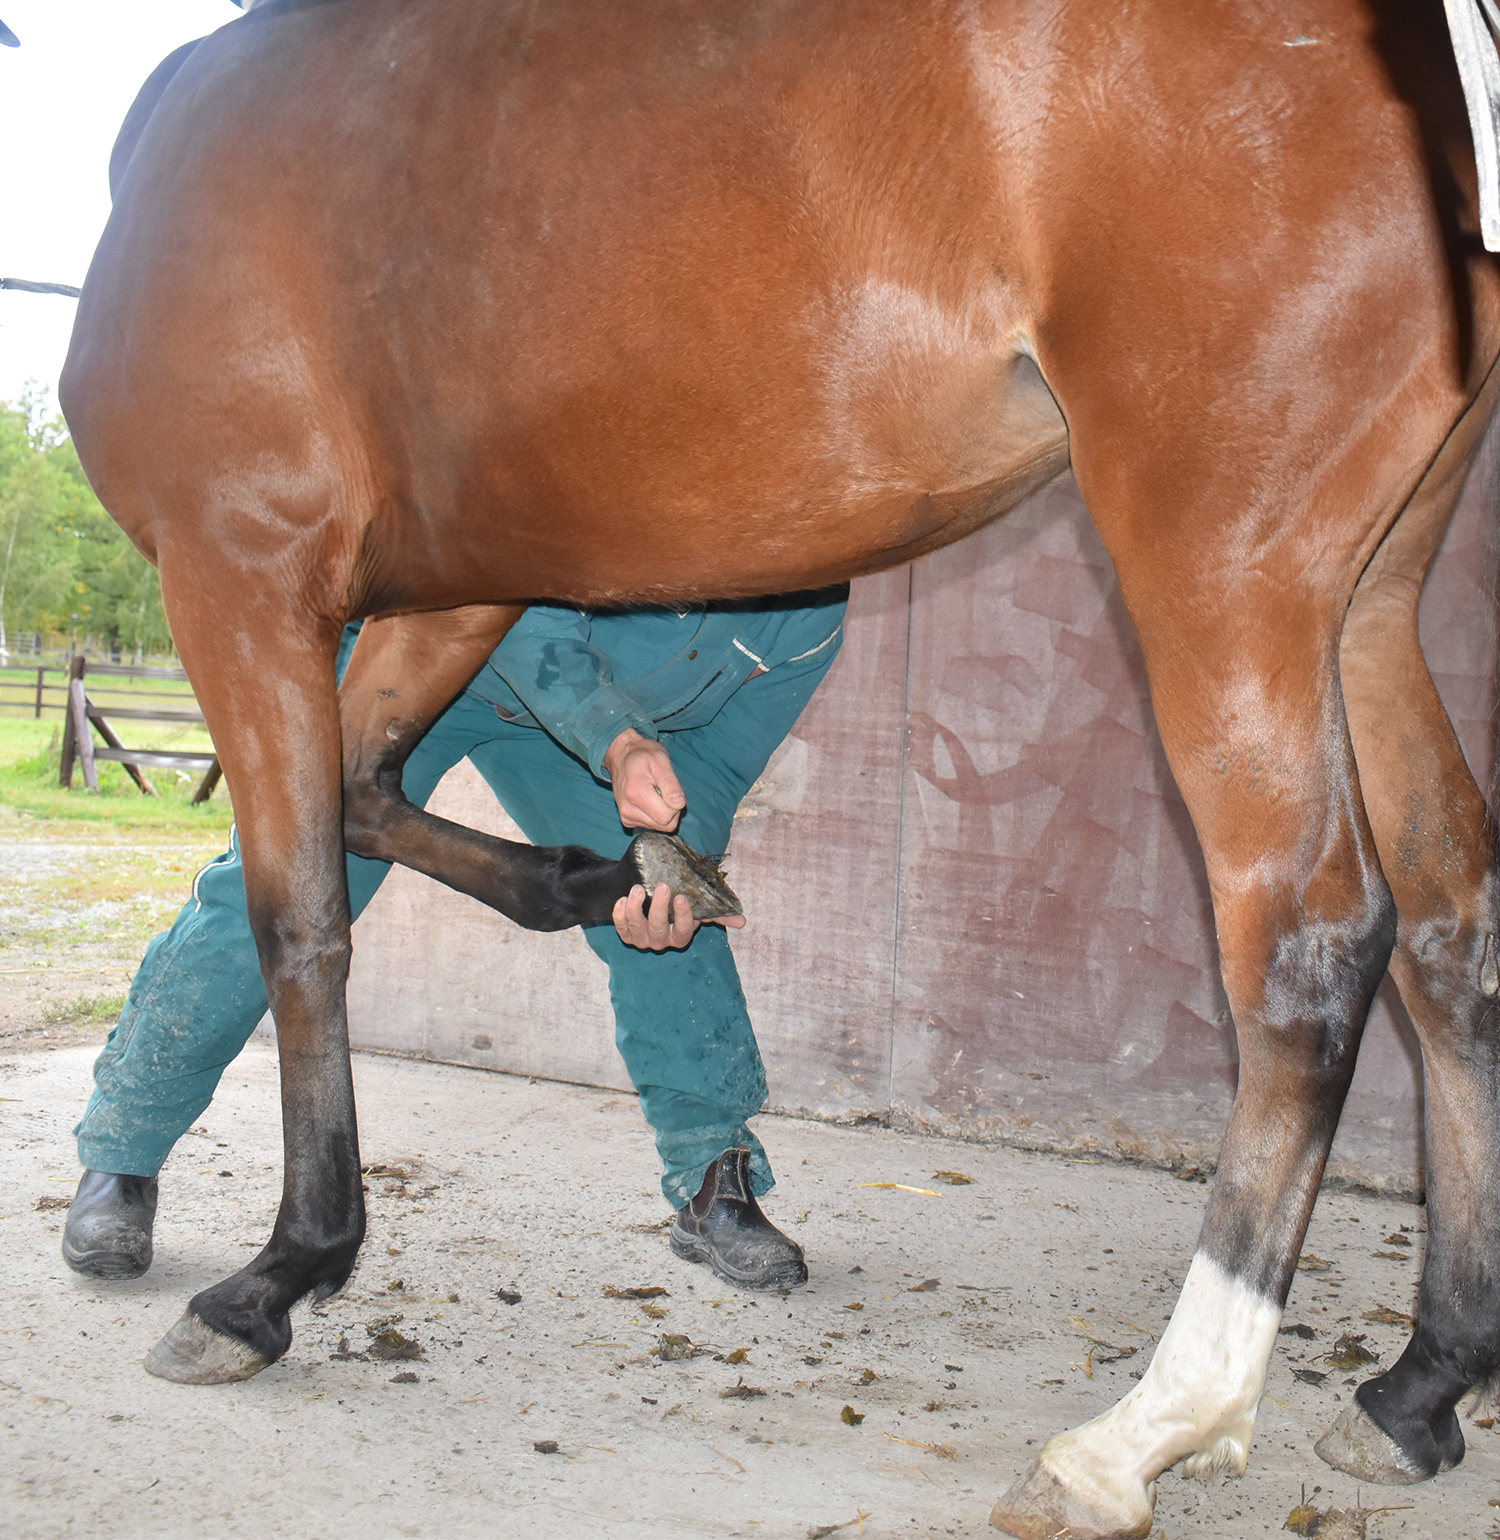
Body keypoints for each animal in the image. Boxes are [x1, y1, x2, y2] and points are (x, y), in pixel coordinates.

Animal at [61, 0, 1500, 1533]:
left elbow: (301, 921)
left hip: (1227, 570)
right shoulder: (451, 595)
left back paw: (1142, 1432)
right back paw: (1419, 1389)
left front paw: (279, 1275)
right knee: (1450, 924)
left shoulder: (241, 574)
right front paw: (601, 878)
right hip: (1368, 600)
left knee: (1311, 947)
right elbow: (364, 797)